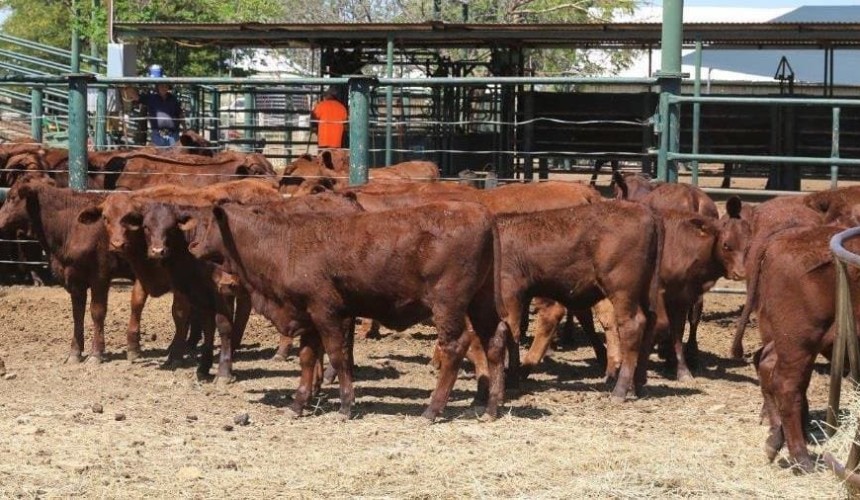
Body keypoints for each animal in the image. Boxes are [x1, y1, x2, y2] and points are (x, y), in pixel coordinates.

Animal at [0, 176, 145, 363]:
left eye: (12, 197)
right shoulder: (73, 278)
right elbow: (77, 314)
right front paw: (74, 353)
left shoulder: (100, 275)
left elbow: (97, 311)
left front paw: (96, 353)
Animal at [185, 201, 505, 421]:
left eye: (209, 223)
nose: (192, 246)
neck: (284, 244)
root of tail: (481, 213)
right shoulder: (308, 316)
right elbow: (307, 359)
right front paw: (298, 403)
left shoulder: (327, 312)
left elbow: (338, 357)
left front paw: (346, 405)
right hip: (482, 301)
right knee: (494, 342)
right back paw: (491, 408)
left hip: (447, 305)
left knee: (455, 346)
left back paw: (432, 409)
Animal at [754, 225, 860, 472]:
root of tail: (777, 242)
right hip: (800, 341)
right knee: (787, 385)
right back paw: (802, 458)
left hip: (791, 341)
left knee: (768, 365)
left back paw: (775, 440)